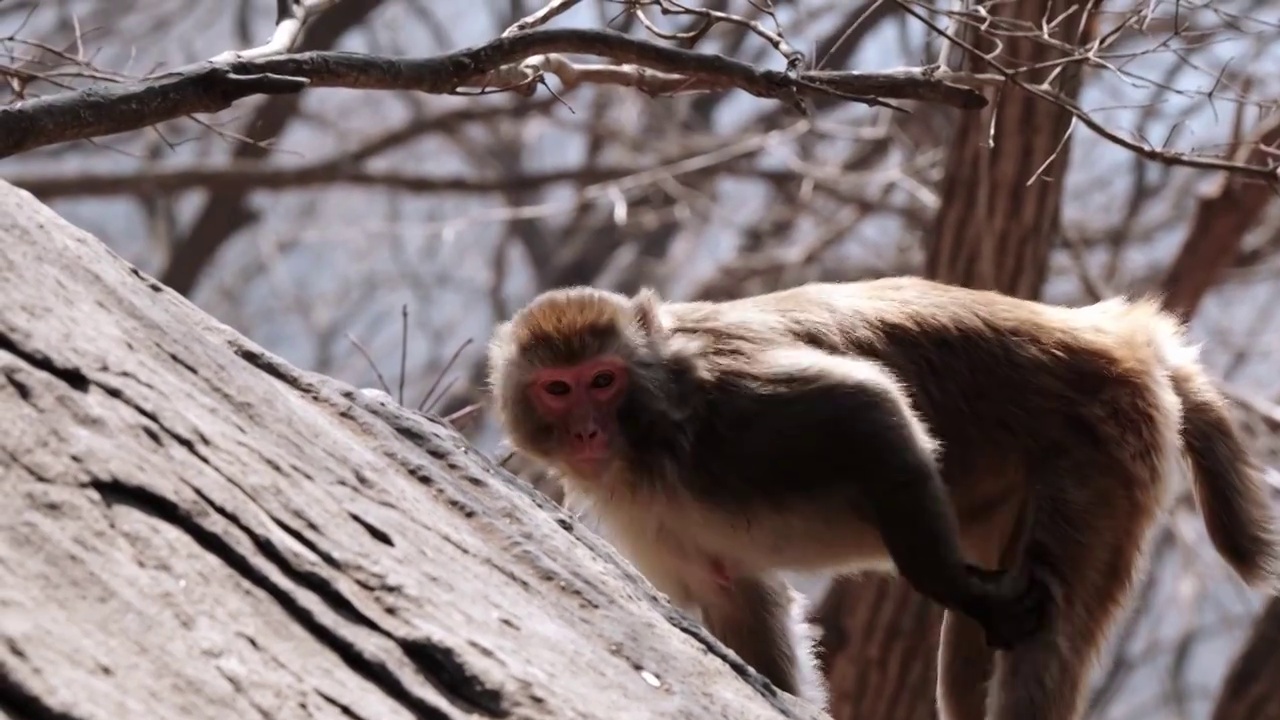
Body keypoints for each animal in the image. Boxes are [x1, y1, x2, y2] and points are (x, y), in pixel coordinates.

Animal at [483, 275, 1274, 717]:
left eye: (603, 380)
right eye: (558, 389)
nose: (586, 429)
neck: (644, 443)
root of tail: (1109, 332)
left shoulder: (723, 410)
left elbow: (864, 409)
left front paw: (951, 582)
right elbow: (736, 599)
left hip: (1102, 451)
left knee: (1044, 643)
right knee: (966, 667)